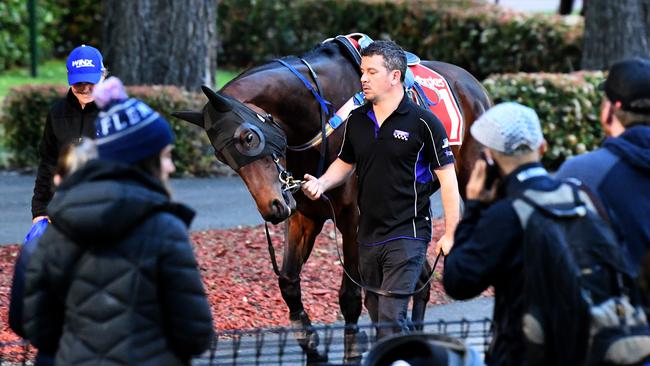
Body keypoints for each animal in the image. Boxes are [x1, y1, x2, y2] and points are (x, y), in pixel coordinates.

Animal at [175, 37, 488, 364]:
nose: (272, 207)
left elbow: (351, 296)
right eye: (221, 156)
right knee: (420, 276)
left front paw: (352, 350)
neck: (318, 115)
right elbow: (288, 282)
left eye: (249, 137)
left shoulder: (354, 219)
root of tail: (473, 84)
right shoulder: (304, 214)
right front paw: (312, 347)